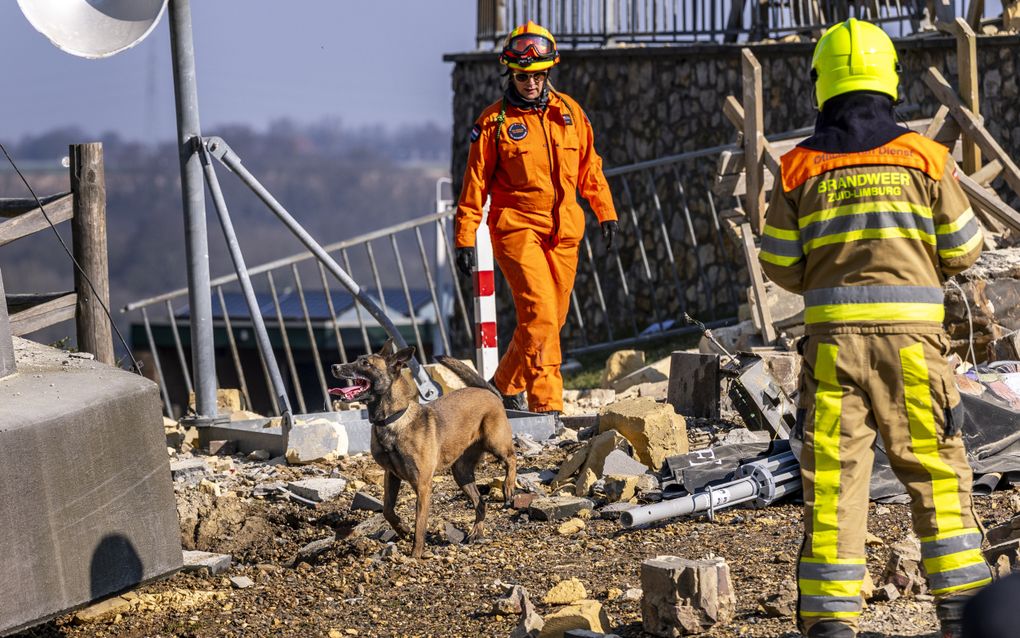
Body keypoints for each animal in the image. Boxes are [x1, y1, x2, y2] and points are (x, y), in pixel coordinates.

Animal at [330, 340, 514, 555]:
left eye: (365, 363)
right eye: (357, 359)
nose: (334, 366)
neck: (393, 420)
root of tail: (488, 391)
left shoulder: (422, 485)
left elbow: (420, 524)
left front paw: (415, 554)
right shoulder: (391, 476)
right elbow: (387, 510)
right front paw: (402, 529)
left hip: (496, 443)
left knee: (511, 459)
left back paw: (509, 486)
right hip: (461, 473)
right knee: (480, 502)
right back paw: (477, 531)